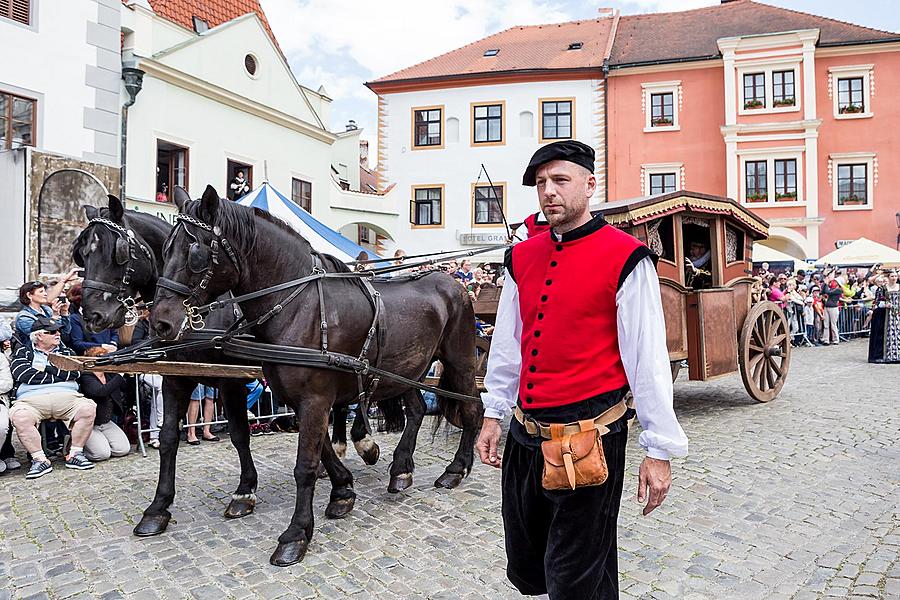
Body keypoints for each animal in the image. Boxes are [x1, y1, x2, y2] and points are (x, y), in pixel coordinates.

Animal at [151, 188, 482, 568]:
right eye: (164, 250)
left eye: (195, 252)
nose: (160, 323)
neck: (299, 305)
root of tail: (451, 280)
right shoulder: (301, 398)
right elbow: (321, 448)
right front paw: (342, 491)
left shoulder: (314, 398)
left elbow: (306, 464)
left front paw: (296, 535)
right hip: (404, 372)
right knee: (416, 410)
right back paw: (401, 469)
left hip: (459, 363)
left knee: (473, 409)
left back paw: (455, 469)